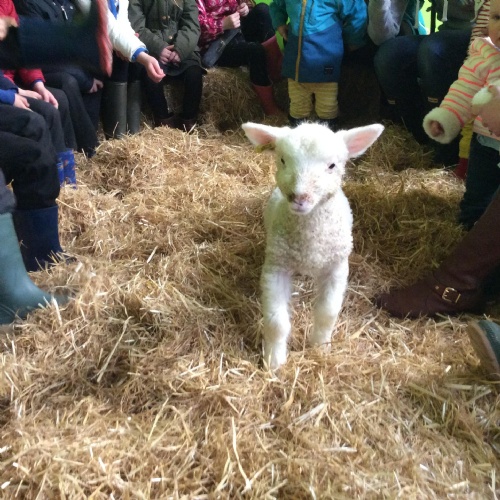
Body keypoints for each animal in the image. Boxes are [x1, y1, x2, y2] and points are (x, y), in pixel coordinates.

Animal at [242, 122, 384, 370]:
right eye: (282, 160)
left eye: (332, 165)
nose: (299, 197)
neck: (310, 244)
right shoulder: (276, 267)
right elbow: (276, 322)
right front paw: (274, 361)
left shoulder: (337, 267)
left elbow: (327, 313)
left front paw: (320, 347)